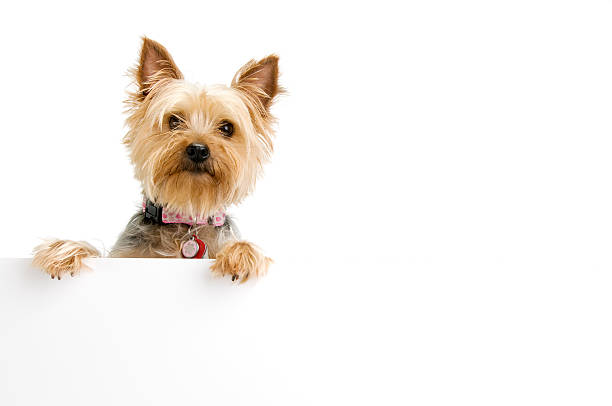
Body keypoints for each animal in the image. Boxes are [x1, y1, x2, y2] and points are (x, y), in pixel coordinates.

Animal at [32, 38, 280, 284]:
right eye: (174, 121)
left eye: (227, 128)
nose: (198, 150)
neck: (186, 223)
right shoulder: (124, 257)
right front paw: (63, 250)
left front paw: (242, 253)